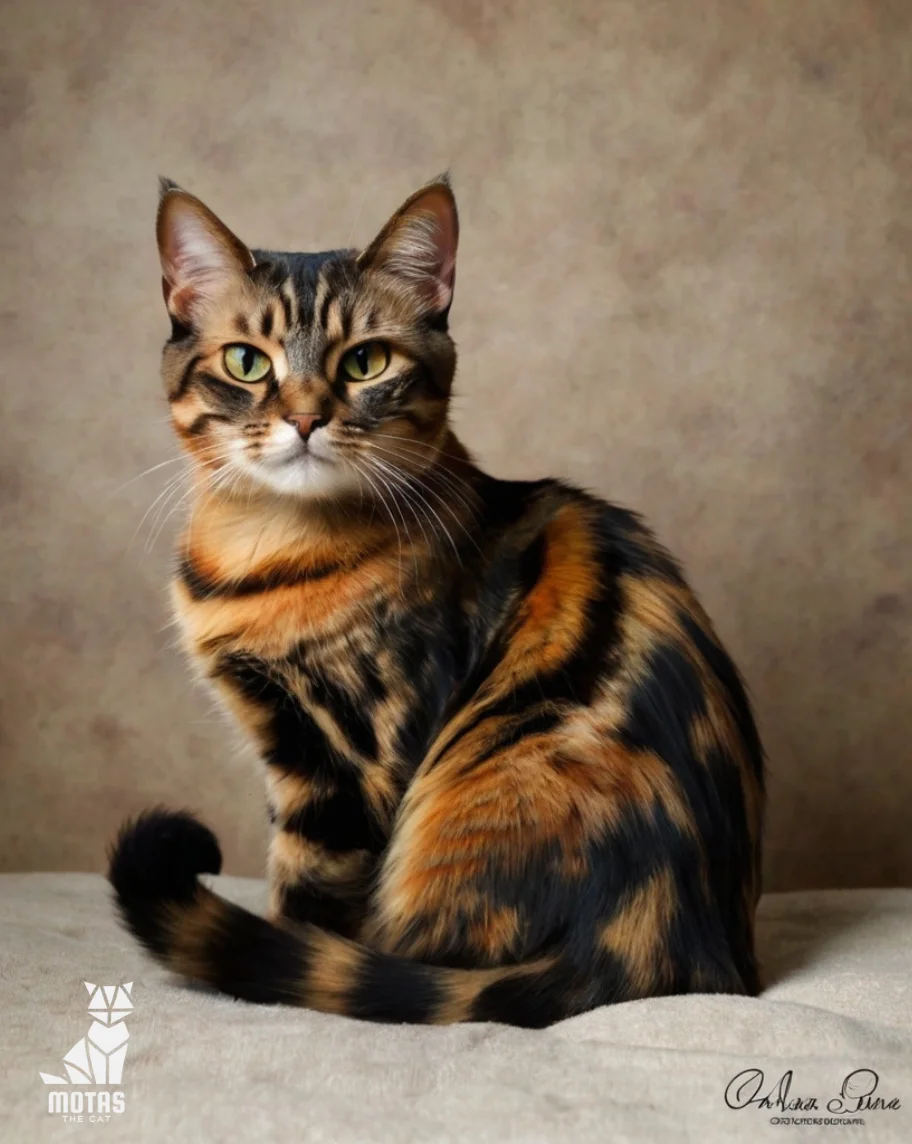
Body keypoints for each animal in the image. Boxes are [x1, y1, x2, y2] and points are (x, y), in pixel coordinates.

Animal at [108, 178, 759, 1029]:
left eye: (366, 361)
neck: (269, 547)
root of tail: (665, 948)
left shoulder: (346, 763)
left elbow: (306, 906)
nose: (306, 418)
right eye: (247, 362)